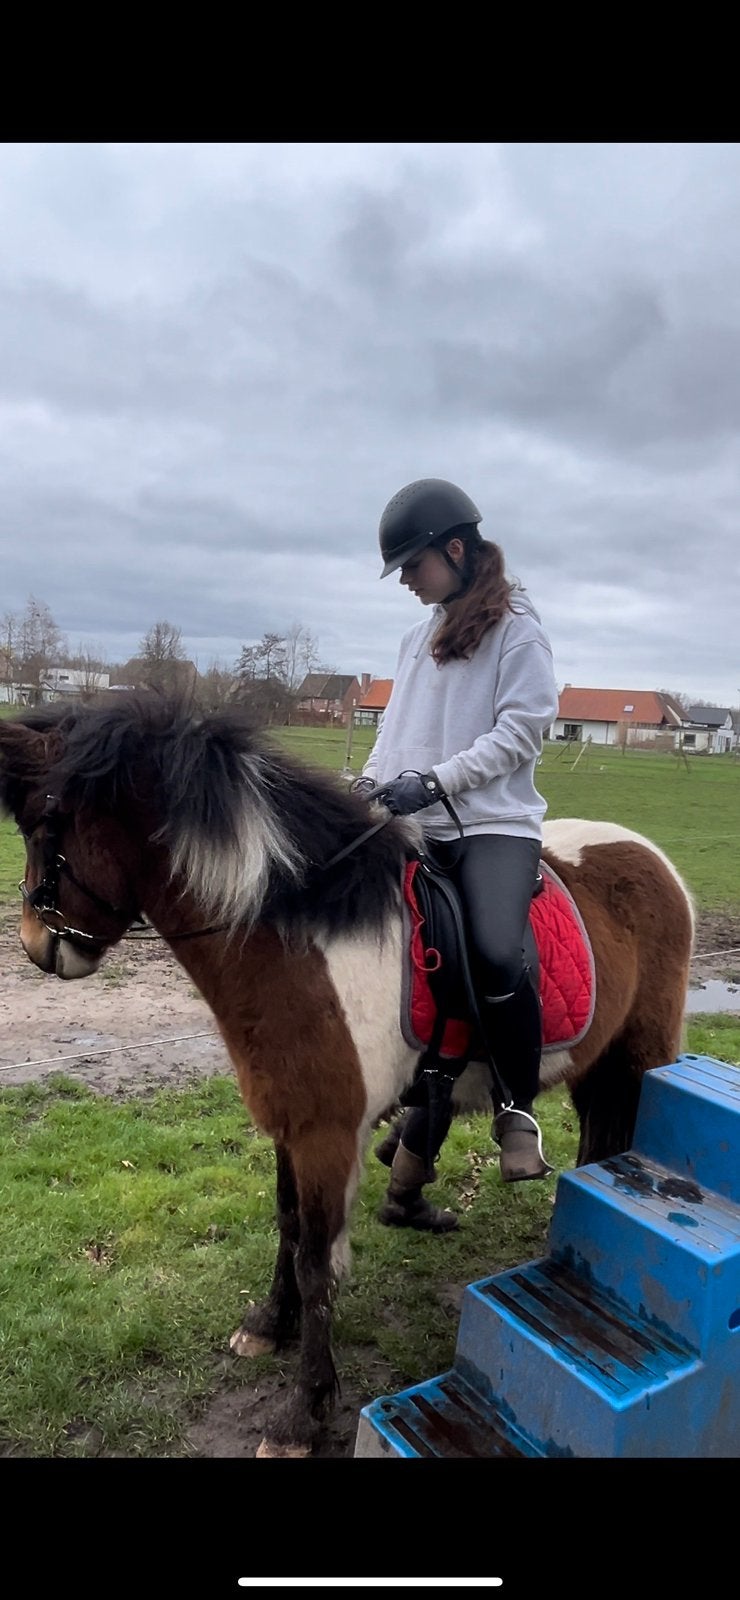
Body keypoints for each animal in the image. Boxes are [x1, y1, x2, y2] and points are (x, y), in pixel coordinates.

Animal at [0, 694, 695, 1457]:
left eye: (43, 827)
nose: (36, 946)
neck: (305, 940)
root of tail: (650, 855)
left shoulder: (329, 1136)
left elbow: (316, 1260)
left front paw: (303, 1413)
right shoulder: (289, 1122)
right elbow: (287, 1225)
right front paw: (270, 1325)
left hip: (642, 1053)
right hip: (596, 1062)